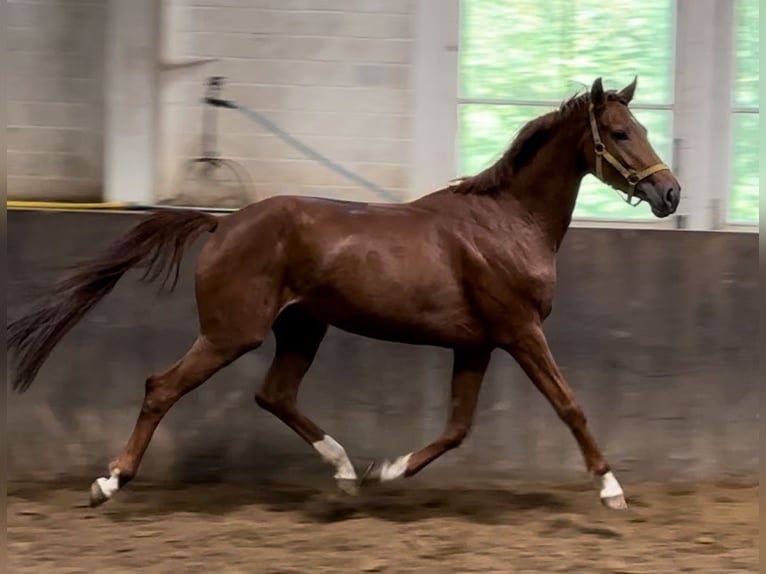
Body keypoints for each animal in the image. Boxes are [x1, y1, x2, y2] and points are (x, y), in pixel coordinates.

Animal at [9, 77, 680, 512]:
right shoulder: (520, 332)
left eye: (642, 127)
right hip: (231, 333)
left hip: (302, 328)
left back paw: (348, 471)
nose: (670, 193)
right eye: (619, 132)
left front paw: (389, 470)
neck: (507, 223)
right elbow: (570, 406)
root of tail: (222, 224)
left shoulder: (477, 345)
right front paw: (611, 490)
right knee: (161, 388)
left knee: (274, 394)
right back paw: (108, 483)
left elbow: (458, 427)